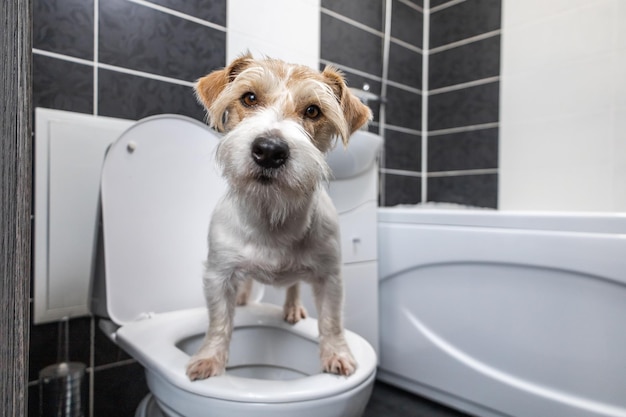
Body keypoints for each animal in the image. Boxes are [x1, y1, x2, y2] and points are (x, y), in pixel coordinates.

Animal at [184, 52, 370, 380]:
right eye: (249, 97)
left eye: (313, 110)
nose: (270, 150)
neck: (272, 211)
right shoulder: (218, 275)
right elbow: (219, 322)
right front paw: (209, 358)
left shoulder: (330, 277)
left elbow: (331, 321)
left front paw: (337, 354)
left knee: (293, 286)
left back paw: (292, 308)